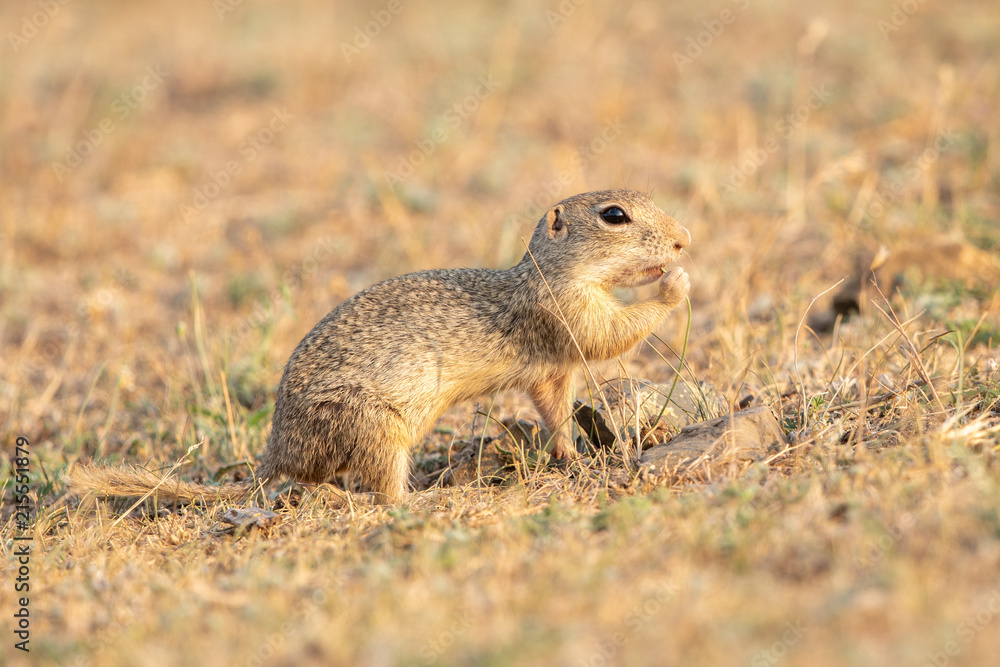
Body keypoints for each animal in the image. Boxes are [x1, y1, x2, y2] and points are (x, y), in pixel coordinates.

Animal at [66, 189, 691, 505]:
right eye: (614, 215)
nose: (685, 238)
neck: (546, 271)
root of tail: (278, 456)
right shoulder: (566, 314)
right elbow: (613, 332)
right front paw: (676, 283)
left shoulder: (553, 371)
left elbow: (556, 411)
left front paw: (571, 457)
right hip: (376, 429)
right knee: (384, 495)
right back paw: (425, 500)